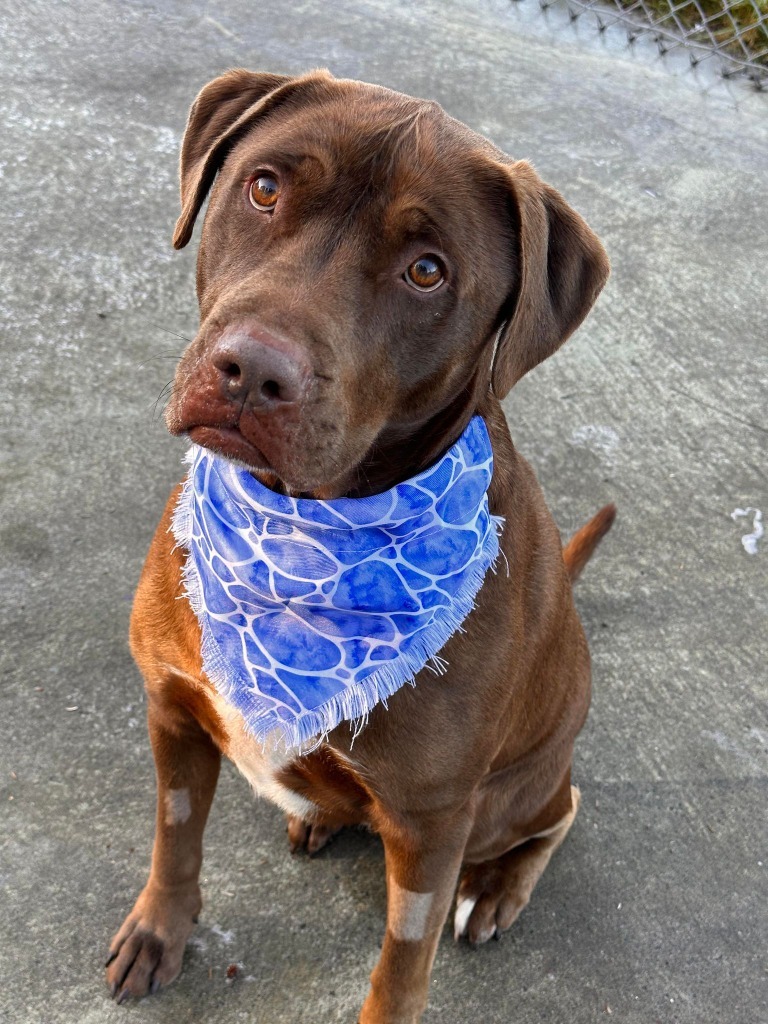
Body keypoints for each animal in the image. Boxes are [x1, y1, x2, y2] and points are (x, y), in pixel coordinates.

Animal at [105, 68, 618, 1019]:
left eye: (427, 272)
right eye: (265, 187)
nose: (252, 371)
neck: (299, 542)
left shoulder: (432, 823)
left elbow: (400, 970)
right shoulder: (173, 708)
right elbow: (176, 835)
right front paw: (161, 927)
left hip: (510, 799)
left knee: (560, 810)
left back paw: (499, 886)